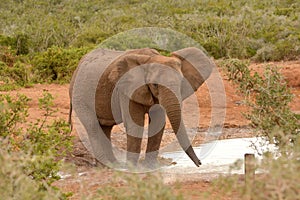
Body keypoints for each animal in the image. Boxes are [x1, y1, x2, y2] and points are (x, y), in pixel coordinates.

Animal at [69, 47, 213, 169]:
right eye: (155, 85)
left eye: (182, 82)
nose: (200, 163)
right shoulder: (126, 90)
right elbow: (135, 124)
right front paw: (132, 168)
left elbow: (157, 123)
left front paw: (150, 167)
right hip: (79, 96)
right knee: (93, 127)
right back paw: (106, 165)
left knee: (105, 129)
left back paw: (113, 164)